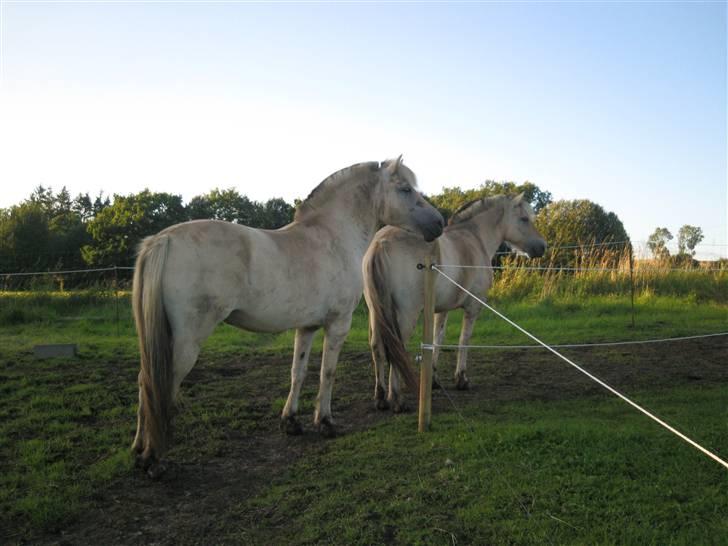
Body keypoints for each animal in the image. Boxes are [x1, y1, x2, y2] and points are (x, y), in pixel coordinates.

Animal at [131, 155, 444, 474]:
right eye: (405, 188)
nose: (439, 222)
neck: (333, 237)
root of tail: (163, 240)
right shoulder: (337, 323)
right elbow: (327, 372)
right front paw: (325, 422)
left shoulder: (306, 327)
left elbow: (298, 372)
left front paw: (291, 422)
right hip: (187, 342)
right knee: (160, 385)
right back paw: (152, 459)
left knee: (145, 382)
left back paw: (139, 452)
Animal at [364, 193, 544, 410]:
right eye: (524, 219)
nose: (542, 246)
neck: (475, 239)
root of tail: (380, 243)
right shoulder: (473, 307)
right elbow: (464, 340)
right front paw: (461, 380)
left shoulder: (442, 309)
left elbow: (437, 340)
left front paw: (433, 380)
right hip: (406, 313)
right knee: (396, 347)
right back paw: (396, 400)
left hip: (376, 312)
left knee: (377, 347)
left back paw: (381, 398)